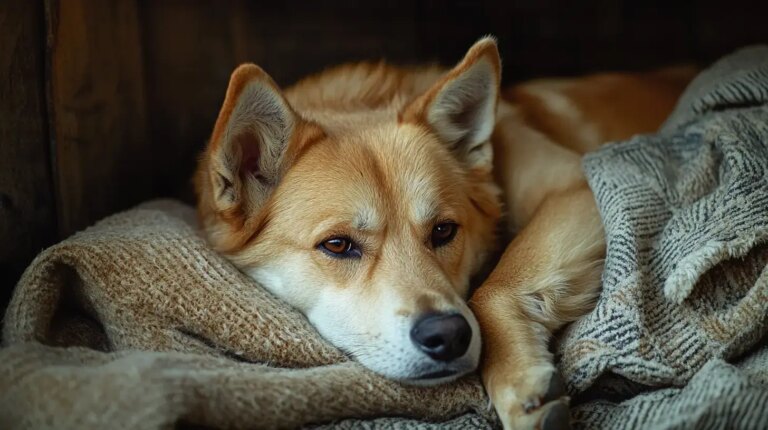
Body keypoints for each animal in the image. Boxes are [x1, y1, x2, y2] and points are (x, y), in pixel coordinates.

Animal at [194, 37, 696, 430]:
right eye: (336, 245)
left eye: (443, 230)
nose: (449, 336)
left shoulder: (576, 185)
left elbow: (491, 290)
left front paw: (517, 381)